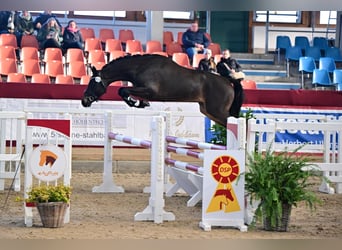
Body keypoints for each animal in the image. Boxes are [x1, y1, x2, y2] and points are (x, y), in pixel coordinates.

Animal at [82, 53, 244, 126]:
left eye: (92, 84)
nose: (84, 101)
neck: (140, 67)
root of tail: (227, 80)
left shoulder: (151, 91)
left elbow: (123, 90)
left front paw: (136, 103)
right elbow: (124, 91)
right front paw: (140, 103)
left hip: (217, 111)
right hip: (208, 111)